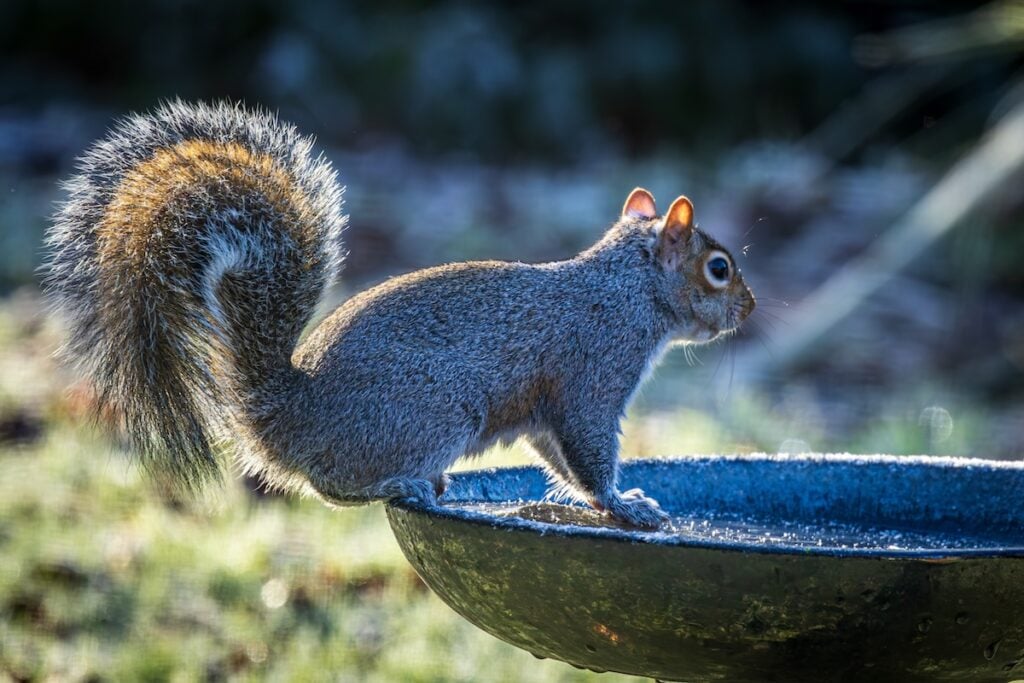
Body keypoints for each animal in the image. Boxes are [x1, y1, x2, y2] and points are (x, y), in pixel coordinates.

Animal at [44, 101, 755, 528]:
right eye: (719, 268)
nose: (748, 308)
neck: (624, 292)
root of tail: (287, 416)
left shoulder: (546, 408)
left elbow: (556, 456)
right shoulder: (592, 375)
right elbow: (588, 451)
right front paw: (626, 504)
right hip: (432, 412)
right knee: (331, 484)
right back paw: (407, 486)